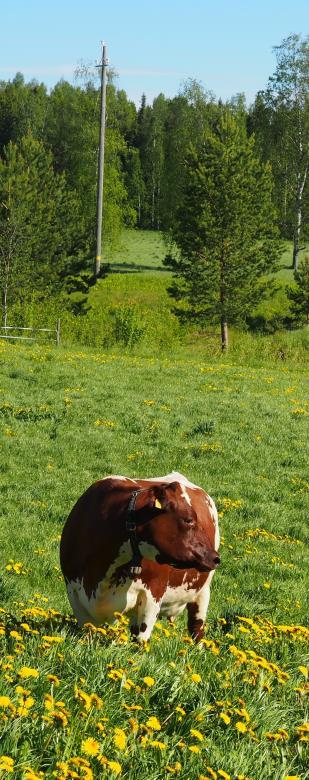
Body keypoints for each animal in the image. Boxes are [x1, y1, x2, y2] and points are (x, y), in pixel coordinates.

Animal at [59, 472, 219, 644]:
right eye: (189, 520)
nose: (215, 558)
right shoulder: (74, 593)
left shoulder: (153, 592)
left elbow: (141, 639)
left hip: (203, 591)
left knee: (197, 628)